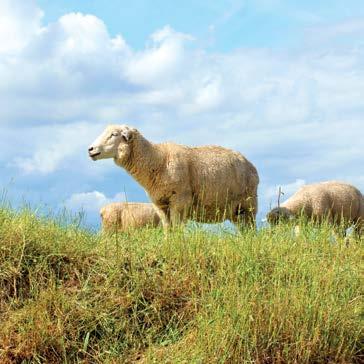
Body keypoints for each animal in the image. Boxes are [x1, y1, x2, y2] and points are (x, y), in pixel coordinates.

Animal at [88, 123, 258, 229]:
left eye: (114, 134)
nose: (90, 149)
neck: (158, 160)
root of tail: (249, 163)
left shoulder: (180, 201)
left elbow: (176, 229)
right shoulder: (160, 205)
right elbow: (167, 230)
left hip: (248, 205)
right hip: (236, 211)